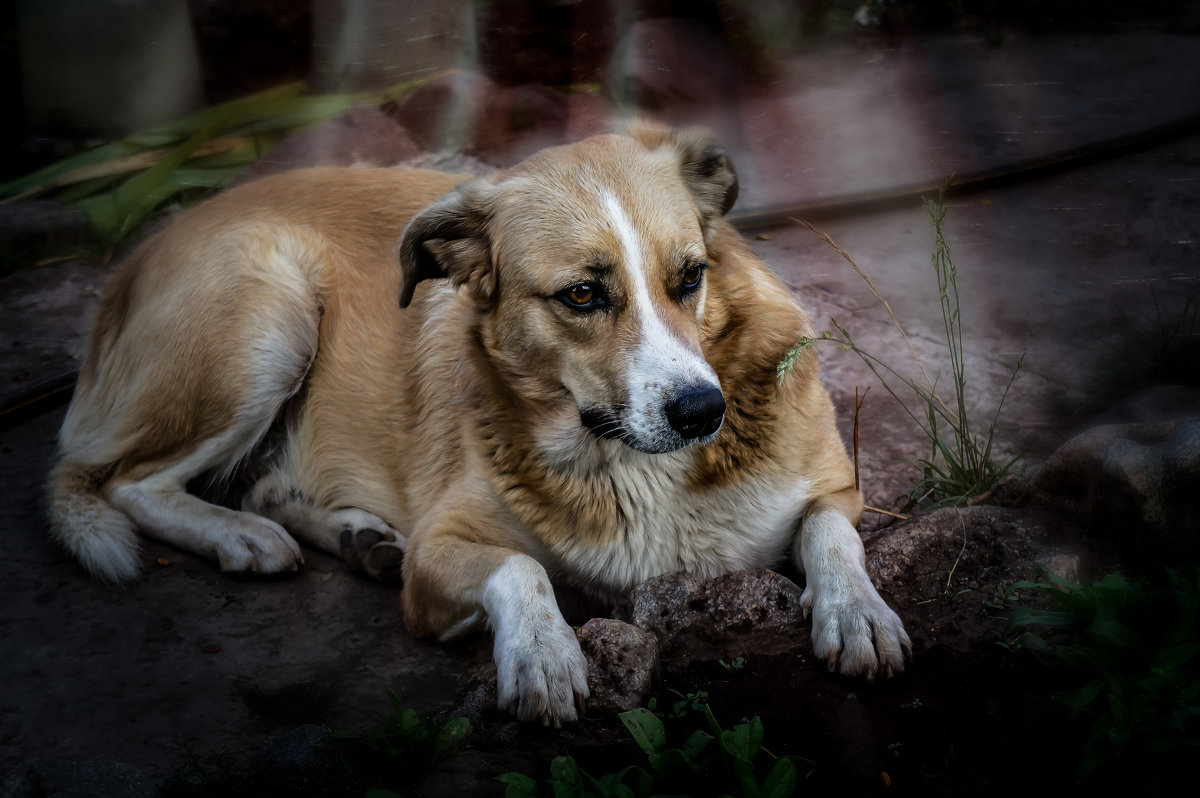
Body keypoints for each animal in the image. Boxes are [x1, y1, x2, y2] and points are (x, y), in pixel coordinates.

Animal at [46, 123, 907, 720]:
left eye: (690, 276)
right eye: (582, 295)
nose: (704, 412)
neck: (626, 461)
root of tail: (139, 255)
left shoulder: (838, 487)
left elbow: (832, 535)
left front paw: (857, 612)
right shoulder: (442, 551)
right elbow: (521, 569)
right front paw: (542, 654)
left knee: (252, 482)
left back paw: (356, 537)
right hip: (266, 311)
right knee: (122, 481)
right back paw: (242, 538)